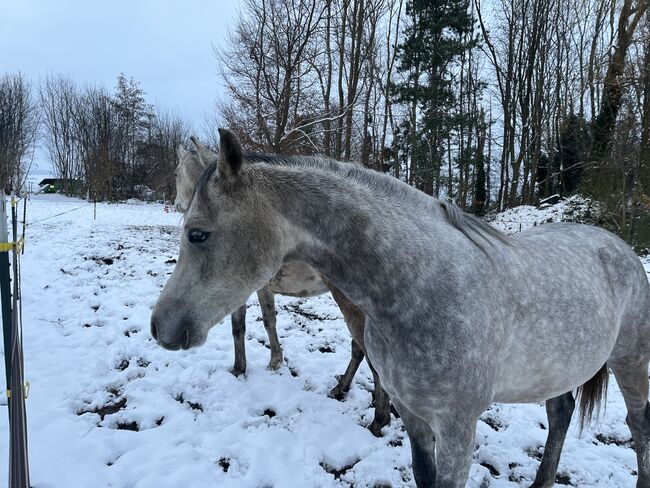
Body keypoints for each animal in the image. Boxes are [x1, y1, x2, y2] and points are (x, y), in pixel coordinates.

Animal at [172, 136, 388, 434]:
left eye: (175, 173)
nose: (177, 204)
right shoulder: (263, 288)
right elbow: (269, 321)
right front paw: (275, 360)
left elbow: (239, 328)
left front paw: (239, 368)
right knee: (358, 350)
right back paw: (341, 389)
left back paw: (378, 420)